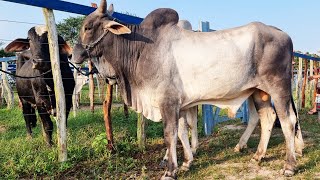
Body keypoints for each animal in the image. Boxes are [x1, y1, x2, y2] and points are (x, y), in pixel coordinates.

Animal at [73, 0, 304, 179]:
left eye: (88, 27)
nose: (73, 55)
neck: (141, 49)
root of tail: (283, 34)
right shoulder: (182, 105)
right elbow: (183, 131)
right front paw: (186, 162)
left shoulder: (167, 102)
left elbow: (170, 134)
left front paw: (170, 171)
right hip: (259, 92)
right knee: (267, 117)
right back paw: (258, 155)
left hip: (279, 88)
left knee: (287, 121)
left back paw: (289, 166)